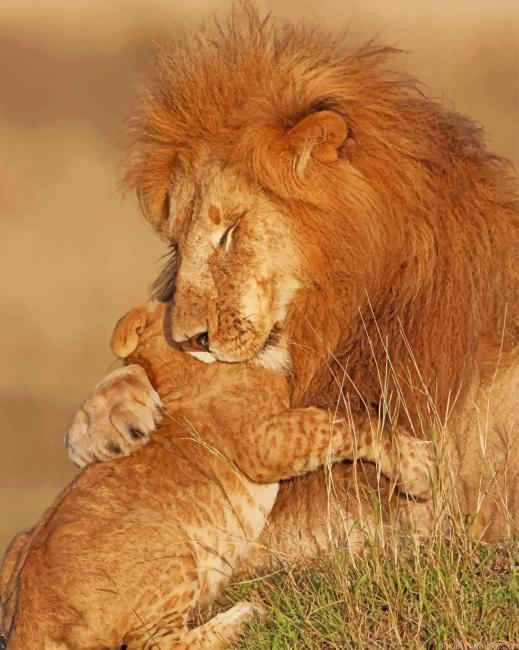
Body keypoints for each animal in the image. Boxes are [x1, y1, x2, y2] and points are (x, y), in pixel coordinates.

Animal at [0, 302, 432, 648]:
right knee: (158, 645)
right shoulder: (266, 442)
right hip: (167, 540)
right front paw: (419, 469)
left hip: (17, 547)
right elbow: (351, 424)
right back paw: (245, 617)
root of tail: (30, 623)